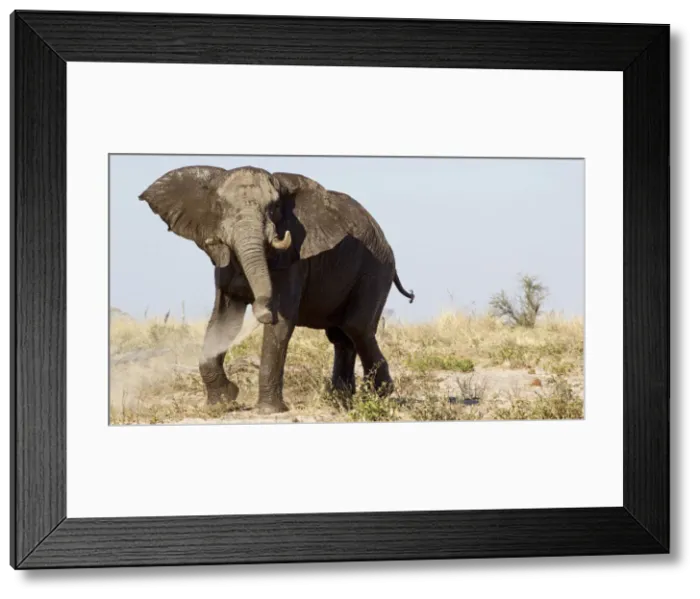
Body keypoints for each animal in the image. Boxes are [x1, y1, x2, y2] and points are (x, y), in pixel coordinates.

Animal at [138, 164, 415, 414]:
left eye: (274, 209)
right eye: (220, 207)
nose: (261, 309)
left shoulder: (293, 261)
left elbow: (281, 322)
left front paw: (268, 411)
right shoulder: (224, 265)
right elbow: (223, 321)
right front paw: (223, 402)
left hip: (376, 269)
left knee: (357, 327)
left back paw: (380, 397)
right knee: (341, 336)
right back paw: (340, 402)